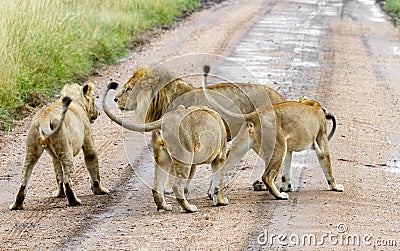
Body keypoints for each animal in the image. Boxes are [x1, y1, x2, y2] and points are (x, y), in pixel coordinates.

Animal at [103, 83, 228, 213]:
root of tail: (164, 119)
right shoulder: (220, 157)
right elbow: (218, 182)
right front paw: (220, 201)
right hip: (185, 156)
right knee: (177, 186)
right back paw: (188, 208)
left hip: (163, 159)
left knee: (156, 187)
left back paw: (164, 206)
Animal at [203, 65, 344, 200]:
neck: (313, 105)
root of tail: (255, 114)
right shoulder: (321, 141)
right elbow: (328, 167)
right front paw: (336, 187)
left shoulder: (289, 150)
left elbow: (286, 170)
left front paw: (287, 187)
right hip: (279, 146)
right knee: (266, 176)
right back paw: (279, 196)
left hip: (242, 148)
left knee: (221, 168)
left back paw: (214, 195)